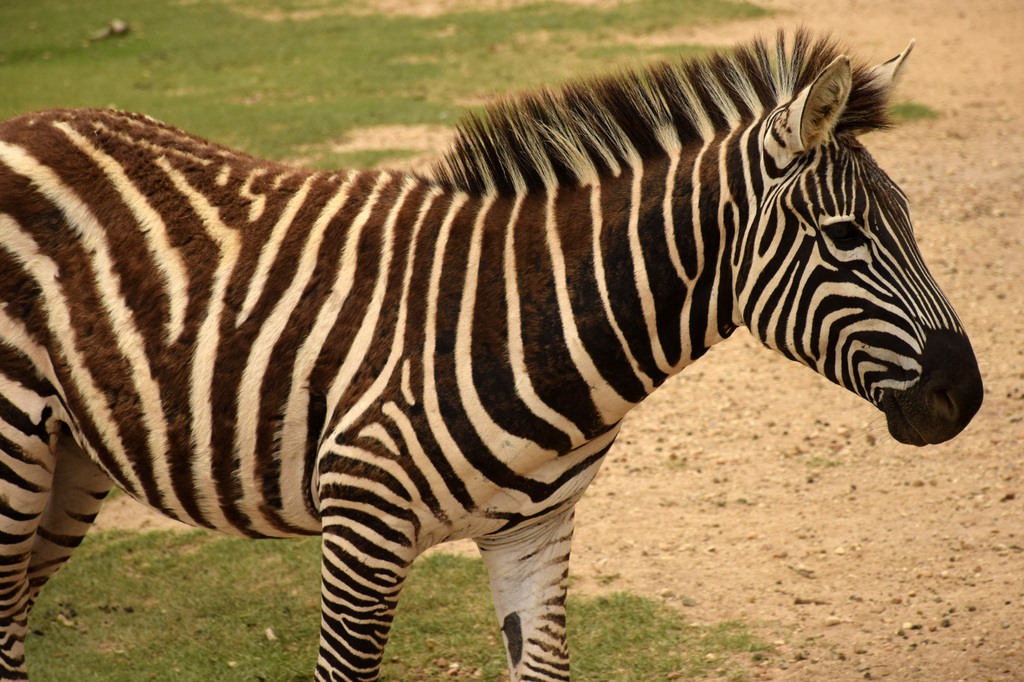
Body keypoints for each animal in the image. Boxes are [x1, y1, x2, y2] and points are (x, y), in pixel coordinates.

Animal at [0, 30, 982, 681]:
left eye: (909, 219)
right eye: (847, 237)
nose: (965, 396)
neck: (529, 321)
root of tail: (30, 122)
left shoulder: (536, 534)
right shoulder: (362, 528)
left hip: (70, 459)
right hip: (14, 446)